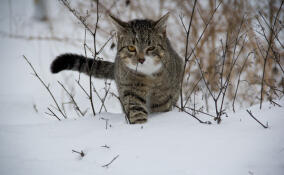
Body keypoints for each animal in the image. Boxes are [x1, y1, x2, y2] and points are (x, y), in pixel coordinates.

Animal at [50, 13, 184, 123]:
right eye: (131, 48)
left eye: (151, 48)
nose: (141, 60)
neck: (148, 75)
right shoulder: (130, 88)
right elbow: (136, 110)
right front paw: (139, 125)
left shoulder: (163, 94)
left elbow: (161, 108)